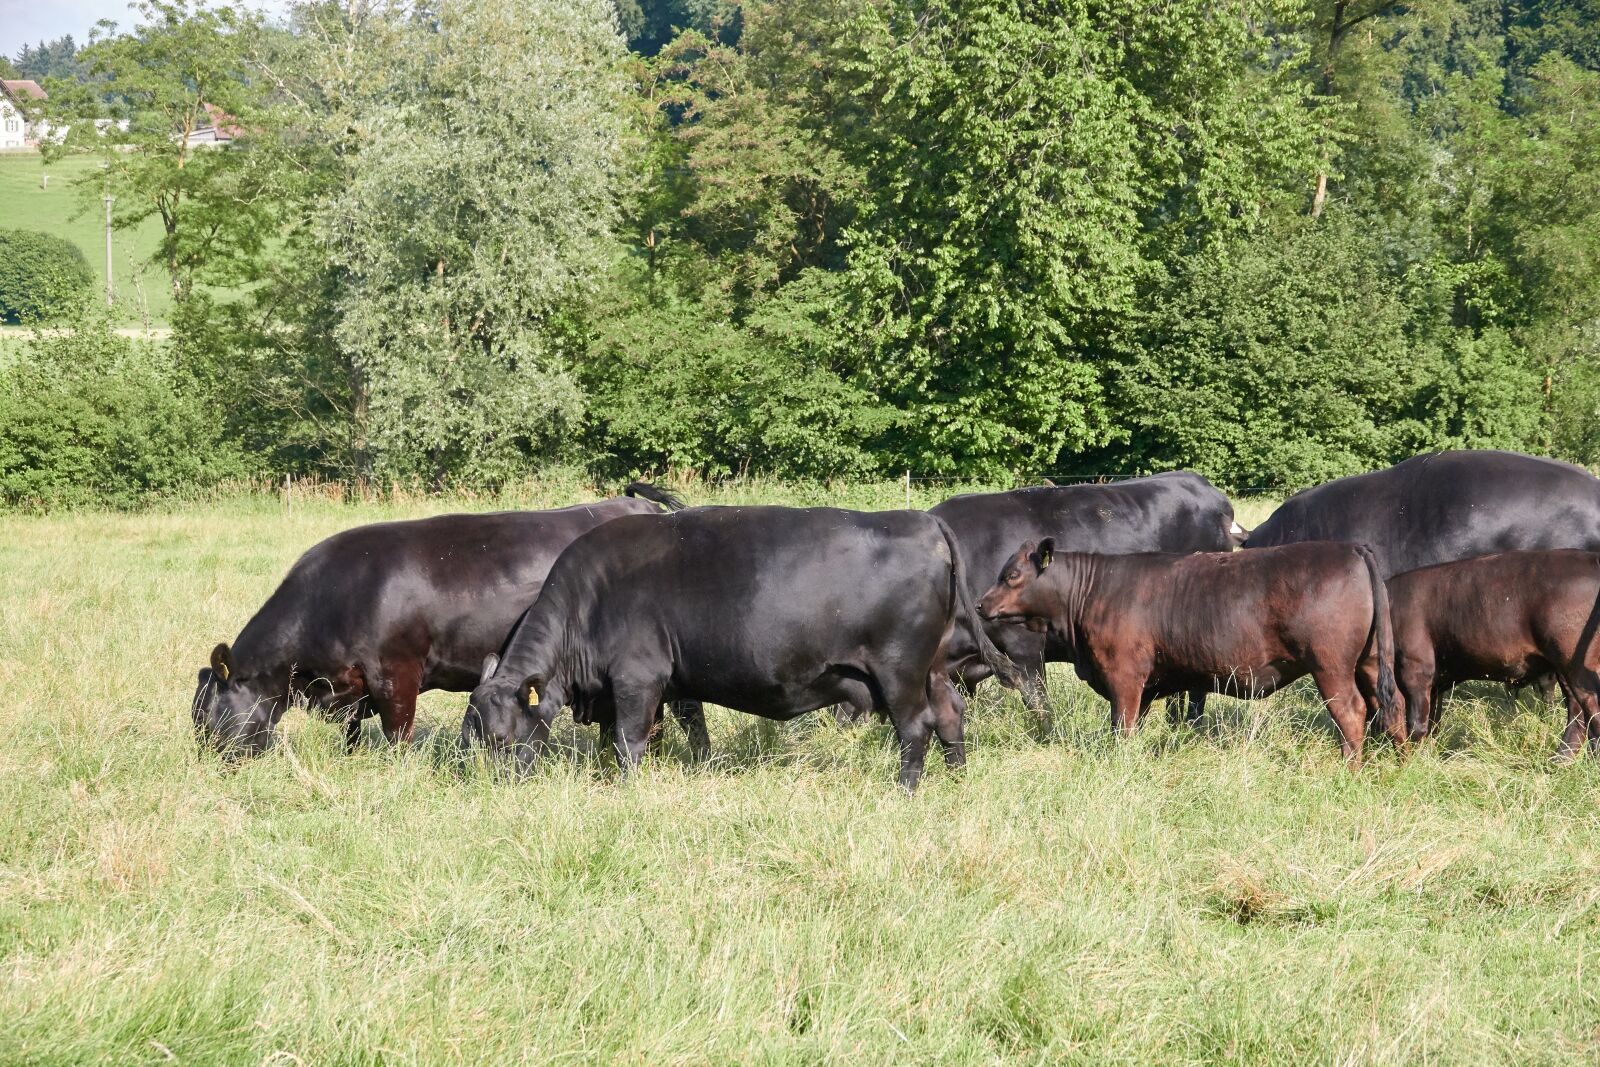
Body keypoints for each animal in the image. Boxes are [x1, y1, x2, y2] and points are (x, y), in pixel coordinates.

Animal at [190, 483, 709, 760]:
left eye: (207, 718)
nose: (206, 766)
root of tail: (638, 504)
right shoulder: (353, 685)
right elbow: (352, 732)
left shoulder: (395, 673)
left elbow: (397, 735)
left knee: (685, 710)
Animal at [460, 506, 1023, 791]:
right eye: (471, 737)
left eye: (503, 740)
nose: (490, 788)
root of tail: (919, 521)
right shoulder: (647, 687)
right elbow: (642, 736)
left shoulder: (638, 678)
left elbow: (628, 741)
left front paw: (628, 788)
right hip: (931, 668)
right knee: (950, 714)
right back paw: (957, 779)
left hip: (899, 670)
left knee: (916, 726)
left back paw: (904, 790)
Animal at [975, 540, 1403, 766]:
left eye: (1012, 575)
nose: (980, 605)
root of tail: (1349, 547)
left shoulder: (1124, 677)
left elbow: (1121, 728)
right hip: (1368, 661)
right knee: (1392, 703)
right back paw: (1402, 760)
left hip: (1330, 665)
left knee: (1352, 712)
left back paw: (1349, 768)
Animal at [1387, 550, 1600, 760]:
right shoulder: (1434, 683)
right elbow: (1430, 720)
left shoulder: (1415, 668)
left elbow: (1414, 724)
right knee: (1578, 713)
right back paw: (1561, 760)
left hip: (1575, 665)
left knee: (1588, 708)